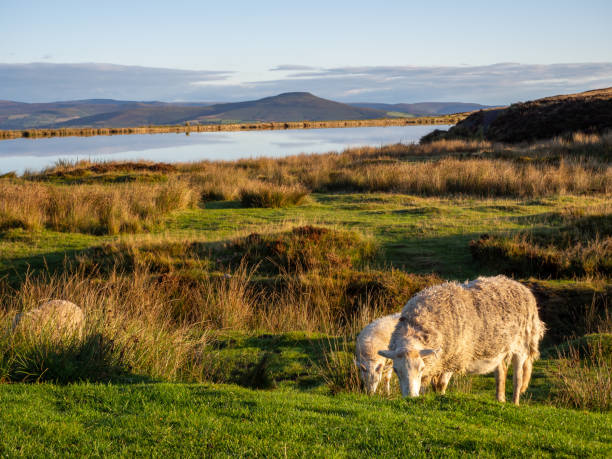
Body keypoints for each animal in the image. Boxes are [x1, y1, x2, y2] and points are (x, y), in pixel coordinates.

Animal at [378, 276, 544, 406]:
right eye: (396, 370)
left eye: (420, 368)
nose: (410, 397)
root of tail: (521, 287)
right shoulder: (437, 362)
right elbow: (429, 385)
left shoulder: (454, 358)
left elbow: (441, 385)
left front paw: (441, 397)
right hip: (499, 348)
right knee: (501, 372)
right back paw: (500, 400)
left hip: (522, 345)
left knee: (518, 377)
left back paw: (515, 403)